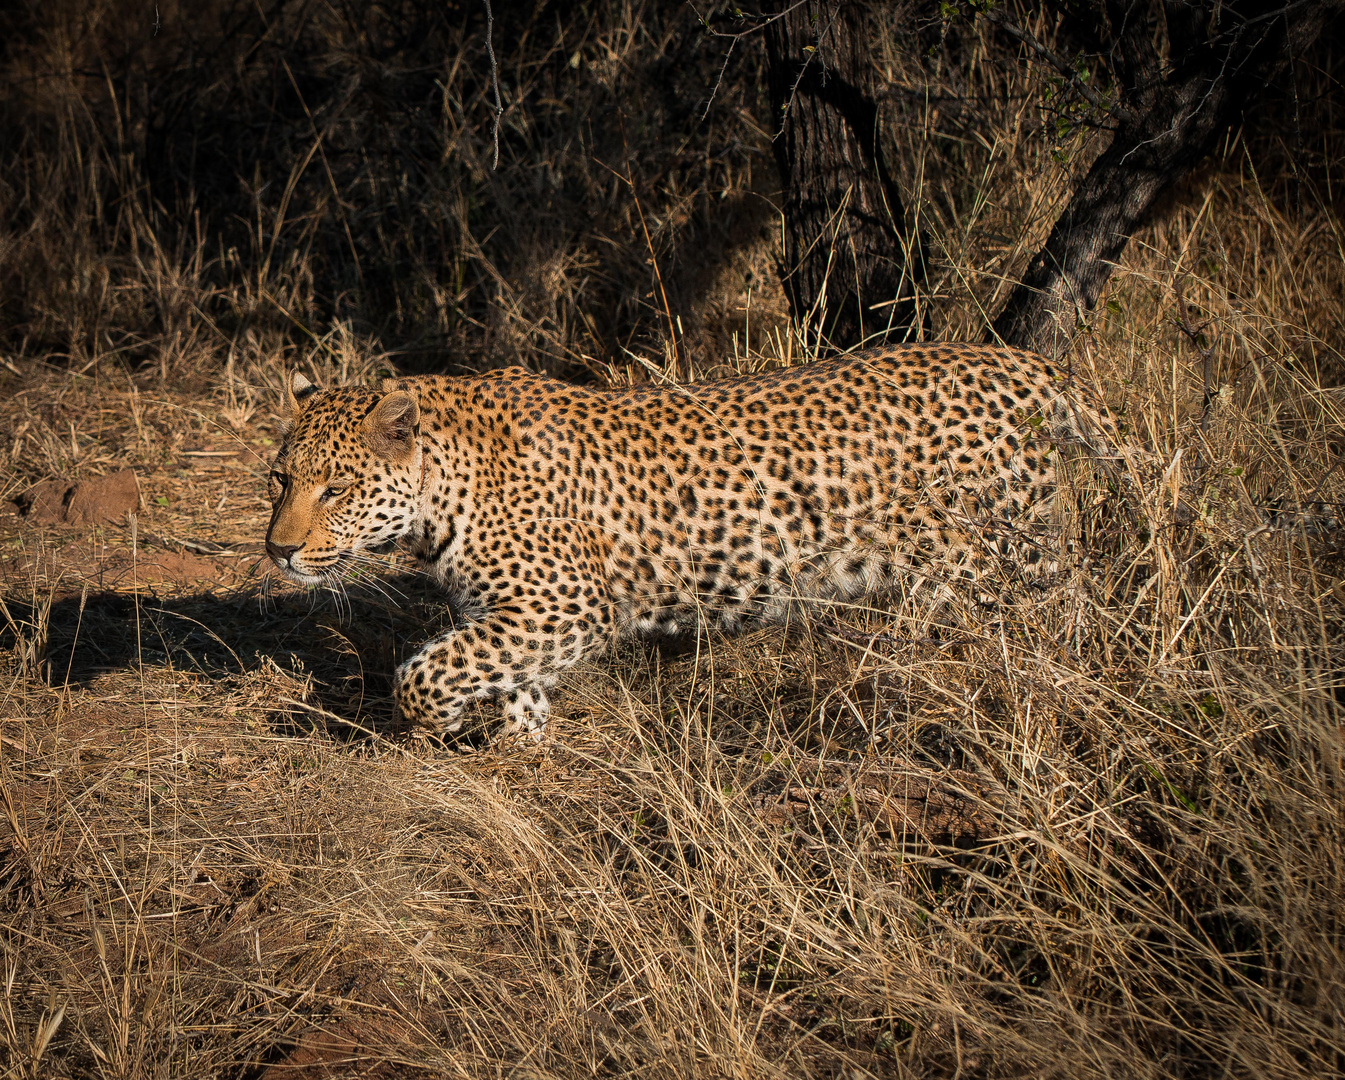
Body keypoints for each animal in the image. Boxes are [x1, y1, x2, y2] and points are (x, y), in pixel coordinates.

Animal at [262, 346, 1113, 742]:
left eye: (335, 489)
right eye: (280, 479)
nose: (277, 551)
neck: (443, 491)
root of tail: (1028, 362)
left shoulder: (564, 607)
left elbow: (425, 671)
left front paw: (439, 725)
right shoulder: (514, 617)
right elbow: (501, 679)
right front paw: (519, 751)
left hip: (987, 568)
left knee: (1039, 639)